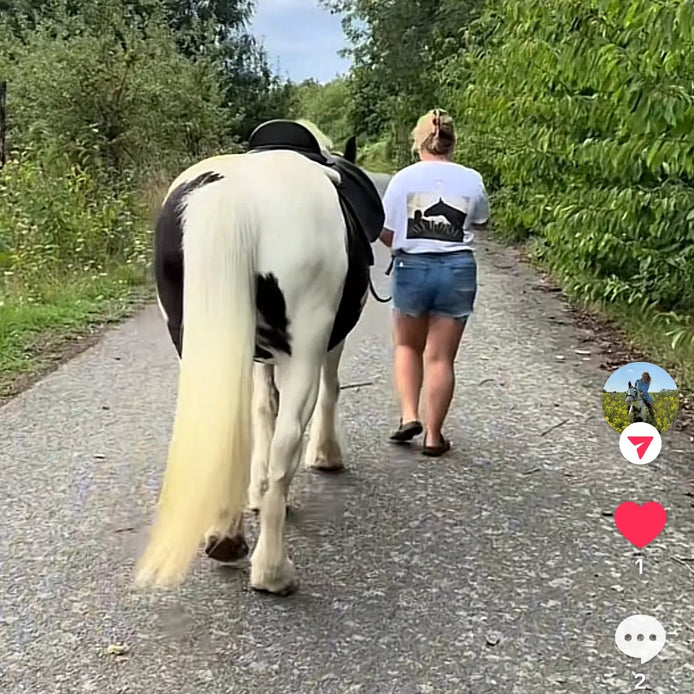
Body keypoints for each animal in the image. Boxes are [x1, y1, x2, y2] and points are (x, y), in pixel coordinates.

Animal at [136, 119, 386, 596]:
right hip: (305, 347)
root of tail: (228, 194)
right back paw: (272, 570)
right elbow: (326, 392)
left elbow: (260, 410)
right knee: (288, 439)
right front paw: (325, 455)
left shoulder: (255, 356)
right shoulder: (325, 343)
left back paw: (225, 535)